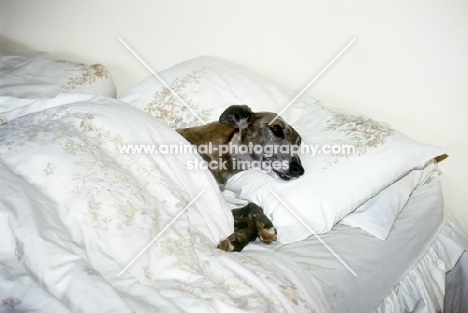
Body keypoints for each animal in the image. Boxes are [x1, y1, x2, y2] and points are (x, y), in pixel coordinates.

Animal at [176, 105, 304, 251]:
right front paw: (238, 239)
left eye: (299, 143)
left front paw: (264, 226)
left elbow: (251, 206)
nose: (299, 170)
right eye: (276, 129)